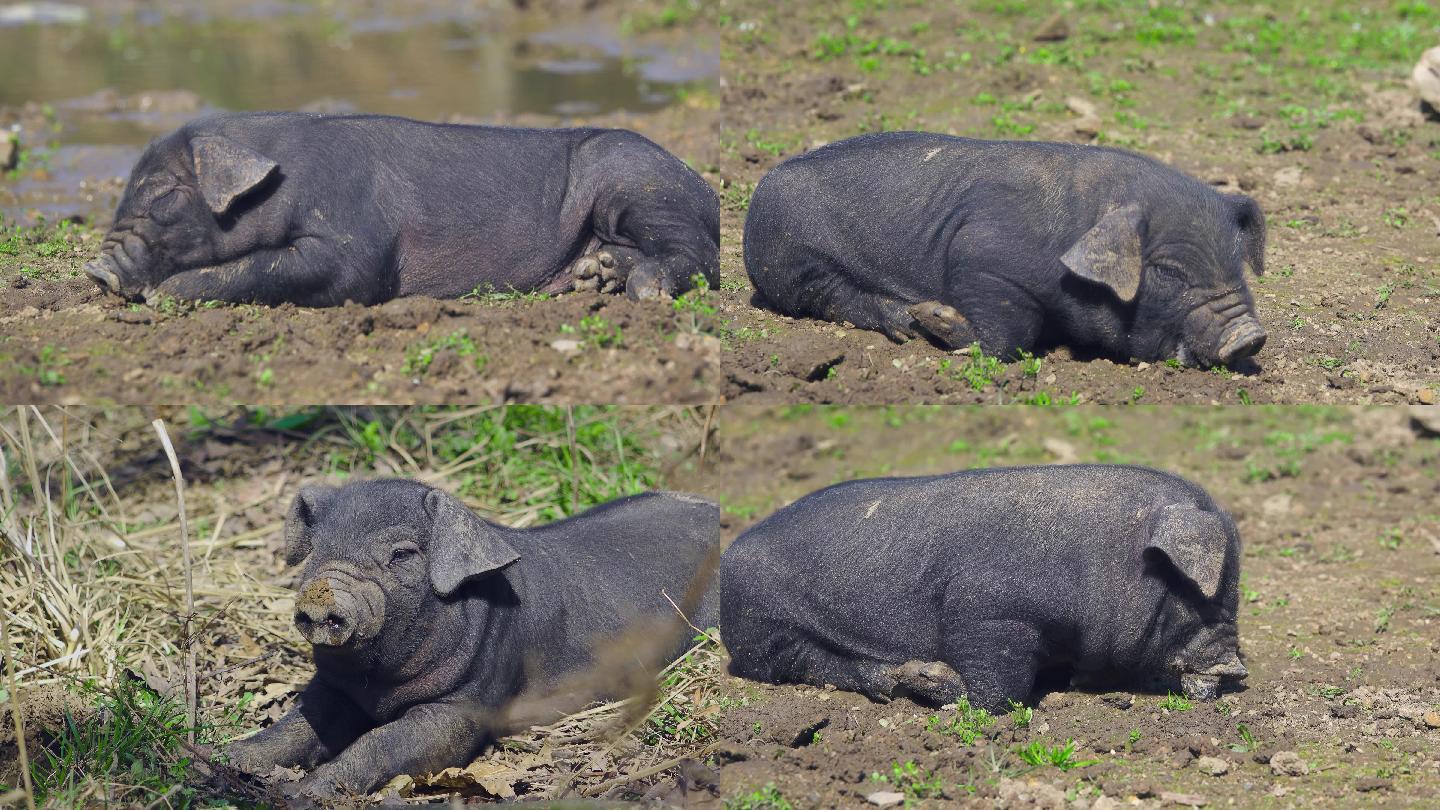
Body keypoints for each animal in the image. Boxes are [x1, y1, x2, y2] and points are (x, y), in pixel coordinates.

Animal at [82, 110, 714, 302]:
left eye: (165, 193)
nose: (96, 268)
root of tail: (704, 186)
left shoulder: (353, 243)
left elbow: (297, 266)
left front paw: (165, 296)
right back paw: (594, 275)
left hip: (640, 187)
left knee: (697, 255)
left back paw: (643, 290)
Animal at [226, 478, 720, 795]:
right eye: (315, 552)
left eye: (401, 554)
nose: (323, 594)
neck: (379, 683)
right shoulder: (333, 688)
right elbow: (292, 729)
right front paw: (224, 758)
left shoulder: (466, 706)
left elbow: (382, 741)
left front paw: (303, 793)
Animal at [720, 464, 1249, 709]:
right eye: (1192, 595)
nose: (1238, 669)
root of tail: (731, 555)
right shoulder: (987, 609)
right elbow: (998, 687)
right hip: (766, 627)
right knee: (815, 663)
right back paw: (924, 679)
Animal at [748, 133, 1267, 368]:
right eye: (1169, 272)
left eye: (1237, 264)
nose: (1250, 336)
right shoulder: (984, 261)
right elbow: (1007, 333)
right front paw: (938, 318)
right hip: (797, 261)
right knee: (839, 297)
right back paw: (911, 319)